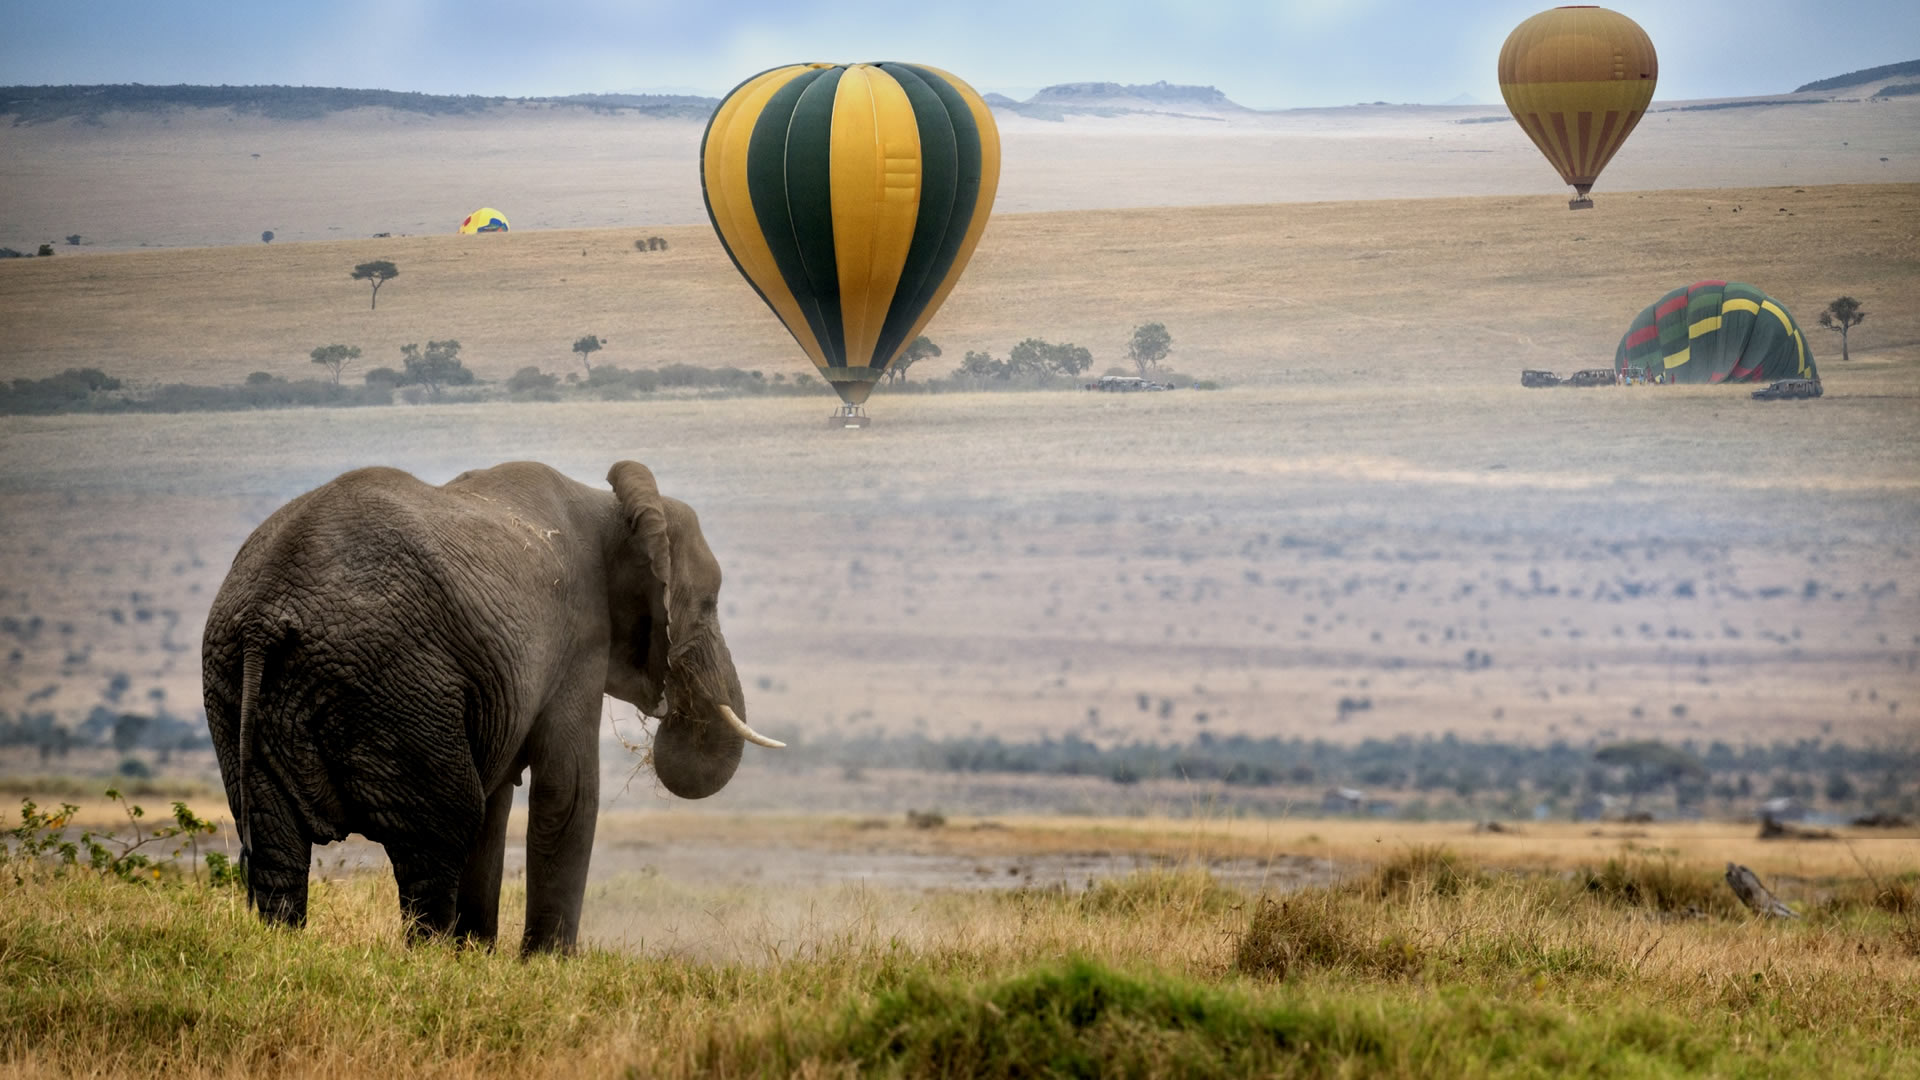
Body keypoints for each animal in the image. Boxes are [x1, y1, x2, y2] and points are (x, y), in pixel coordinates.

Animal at [200, 460, 782, 954]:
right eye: (708, 604)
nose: (673, 707)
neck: (613, 506)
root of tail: (265, 616)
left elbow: (499, 799)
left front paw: (477, 955)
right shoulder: (579, 639)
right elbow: (567, 792)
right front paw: (546, 965)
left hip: (233, 689)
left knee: (276, 844)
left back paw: (286, 947)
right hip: (396, 682)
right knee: (442, 826)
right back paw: (429, 957)